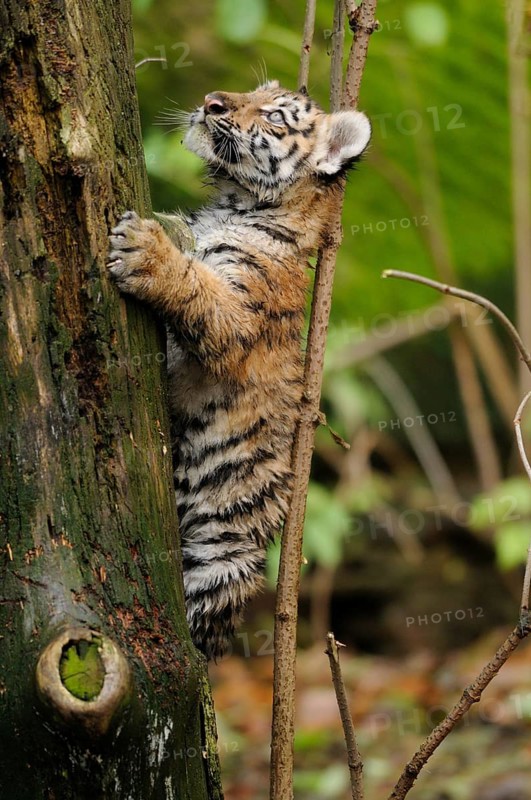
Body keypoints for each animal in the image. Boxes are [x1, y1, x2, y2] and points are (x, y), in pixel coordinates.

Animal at [108, 80, 371, 659]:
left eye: (273, 115)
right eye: (255, 89)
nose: (212, 103)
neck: (233, 204)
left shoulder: (234, 320)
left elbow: (195, 287)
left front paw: (145, 250)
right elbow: (183, 237)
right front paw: (163, 228)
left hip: (221, 558)